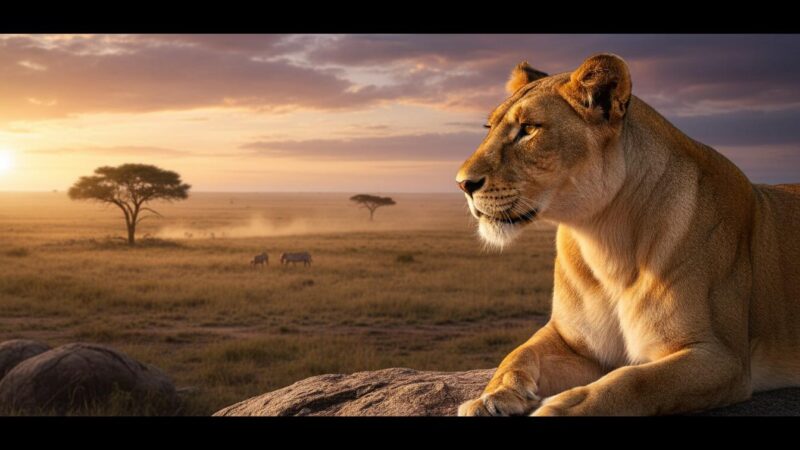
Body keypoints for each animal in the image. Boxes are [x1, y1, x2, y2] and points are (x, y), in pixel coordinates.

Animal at [455, 54, 800, 416]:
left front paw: (560, 407)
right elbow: (519, 354)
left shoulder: (722, 357)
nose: (462, 183)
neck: (605, 240)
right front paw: (491, 396)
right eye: (489, 128)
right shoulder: (572, 342)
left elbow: (635, 381)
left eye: (529, 129)